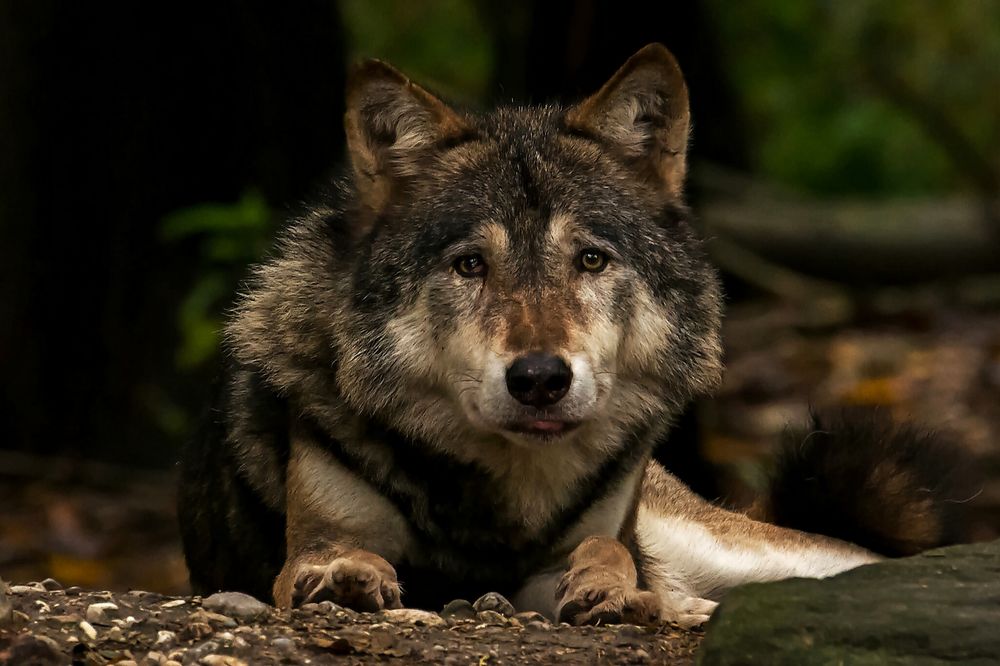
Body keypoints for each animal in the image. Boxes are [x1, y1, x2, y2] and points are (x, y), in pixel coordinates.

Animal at [178, 44, 968, 627]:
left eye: (590, 259)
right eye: (470, 265)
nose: (539, 379)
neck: (500, 498)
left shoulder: (577, 547)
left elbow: (604, 554)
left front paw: (614, 590)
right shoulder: (312, 542)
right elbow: (328, 560)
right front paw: (348, 577)